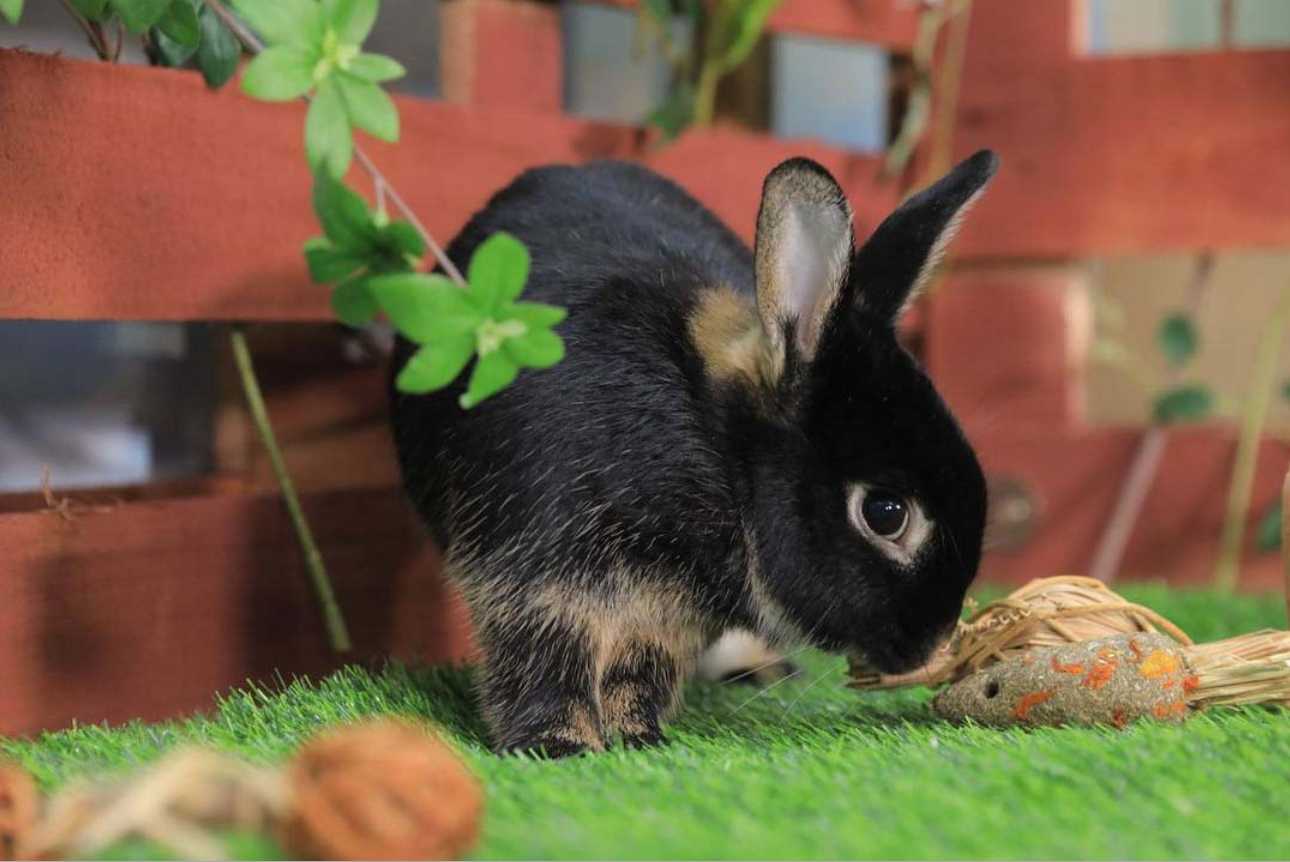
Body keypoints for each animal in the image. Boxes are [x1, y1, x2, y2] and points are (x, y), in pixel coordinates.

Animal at [387, 148, 1001, 753]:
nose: (929, 647)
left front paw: (640, 736)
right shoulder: (535, 573)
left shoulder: (663, 615)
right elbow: (544, 659)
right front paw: (556, 743)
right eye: (885, 513)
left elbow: (639, 669)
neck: (715, 455)